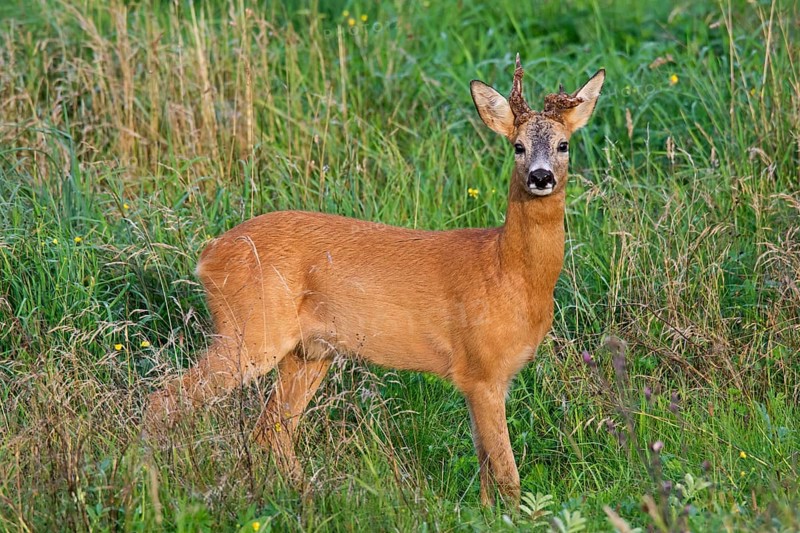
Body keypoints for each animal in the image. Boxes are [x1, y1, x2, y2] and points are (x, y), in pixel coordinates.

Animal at [143, 55, 605, 507]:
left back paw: (307, 497)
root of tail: (207, 256)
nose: (541, 177)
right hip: (251, 332)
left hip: (309, 352)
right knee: (163, 400)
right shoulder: (482, 369)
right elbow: (507, 474)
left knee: (272, 428)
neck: (509, 272)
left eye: (563, 145)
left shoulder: (486, 379)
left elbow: (486, 471)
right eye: (518, 146)